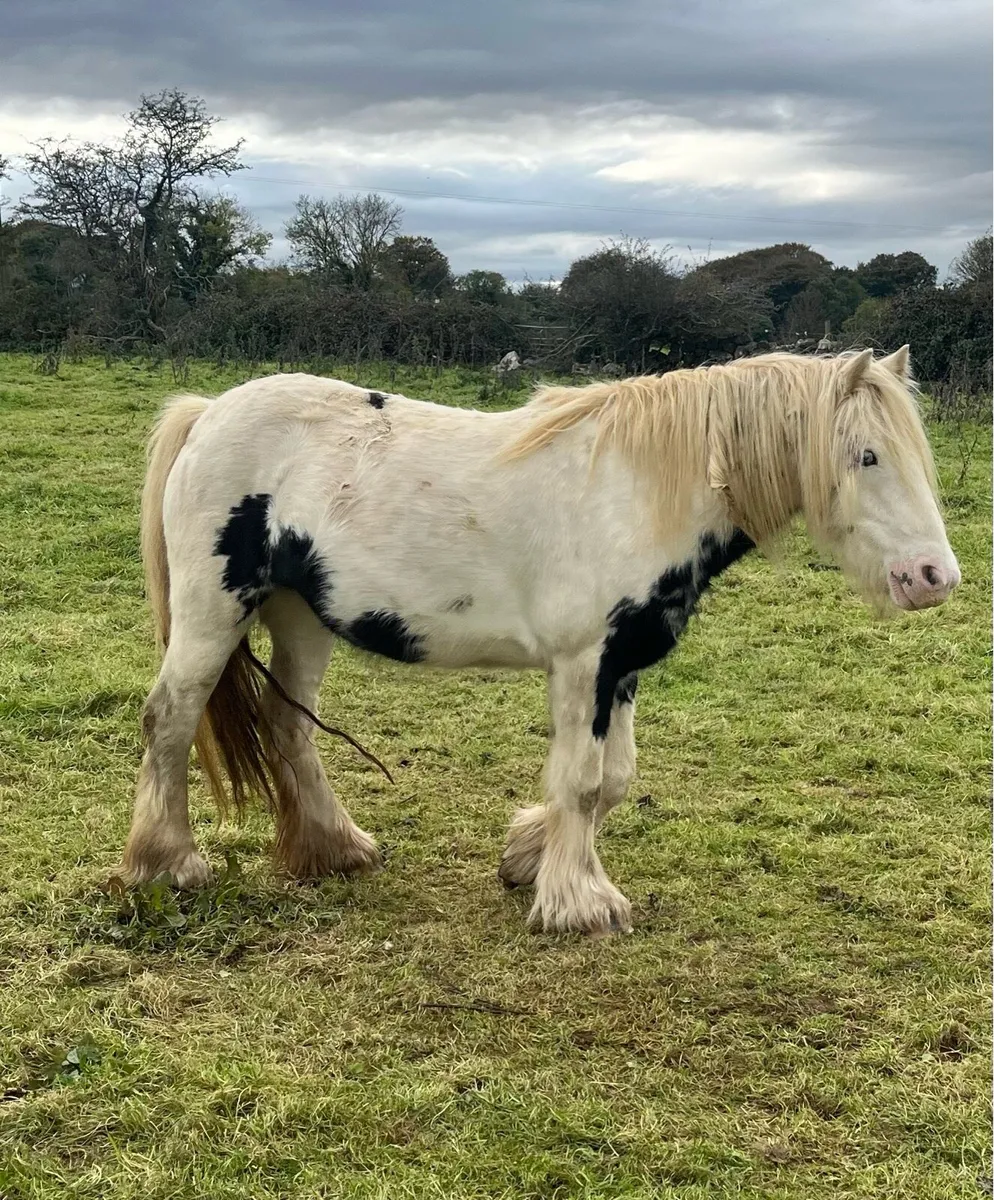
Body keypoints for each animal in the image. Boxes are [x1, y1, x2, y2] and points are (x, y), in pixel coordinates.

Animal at [117, 346, 960, 936]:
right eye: (866, 455)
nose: (933, 577)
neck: (639, 492)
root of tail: (208, 413)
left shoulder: (622, 665)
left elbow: (614, 779)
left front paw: (527, 855)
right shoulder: (584, 665)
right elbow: (584, 783)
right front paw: (579, 903)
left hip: (299, 618)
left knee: (288, 726)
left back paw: (333, 848)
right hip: (212, 612)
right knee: (171, 719)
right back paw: (168, 865)